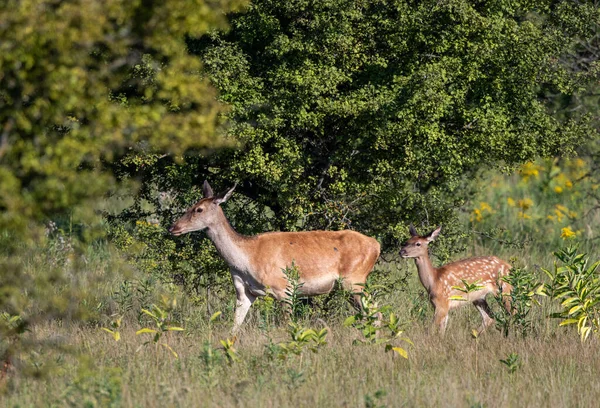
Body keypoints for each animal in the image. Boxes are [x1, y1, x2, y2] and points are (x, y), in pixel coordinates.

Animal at [168, 181, 380, 332]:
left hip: (354, 281)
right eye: (191, 206)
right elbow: (234, 327)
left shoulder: (284, 289)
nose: (173, 227)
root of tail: (376, 245)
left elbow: (288, 326)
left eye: (199, 209)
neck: (247, 258)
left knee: (375, 313)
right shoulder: (244, 292)